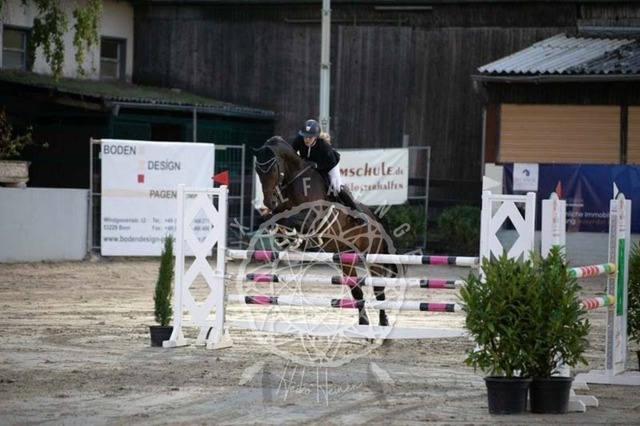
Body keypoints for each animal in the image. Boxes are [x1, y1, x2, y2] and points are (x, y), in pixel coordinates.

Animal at [253, 135, 401, 328]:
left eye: (273, 168)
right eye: (258, 170)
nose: (268, 202)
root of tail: (374, 217)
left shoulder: (312, 218)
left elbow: (289, 220)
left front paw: (292, 238)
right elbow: (272, 220)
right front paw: (283, 237)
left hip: (373, 255)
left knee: (378, 289)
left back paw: (383, 323)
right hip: (345, 258)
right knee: (357, 290)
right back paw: (363, 323)